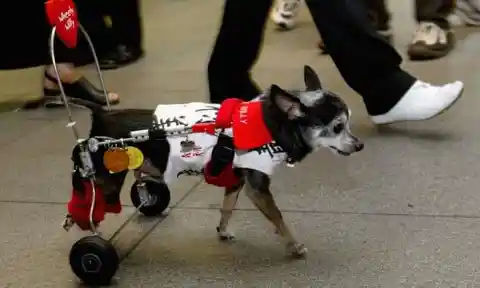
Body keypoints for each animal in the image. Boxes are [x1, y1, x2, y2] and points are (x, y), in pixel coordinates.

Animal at [70, 65, 364, 256]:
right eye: (338, 127)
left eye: (348, 122)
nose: (359, 145)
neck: (270, 123)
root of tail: (101, 114)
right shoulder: (257, 188)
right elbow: (278, 218)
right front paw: (294, 246)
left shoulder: (237, 181)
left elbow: (227, 208)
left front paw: (222, 231)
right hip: (105, 179)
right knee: (85, 200)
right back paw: (89, 236)